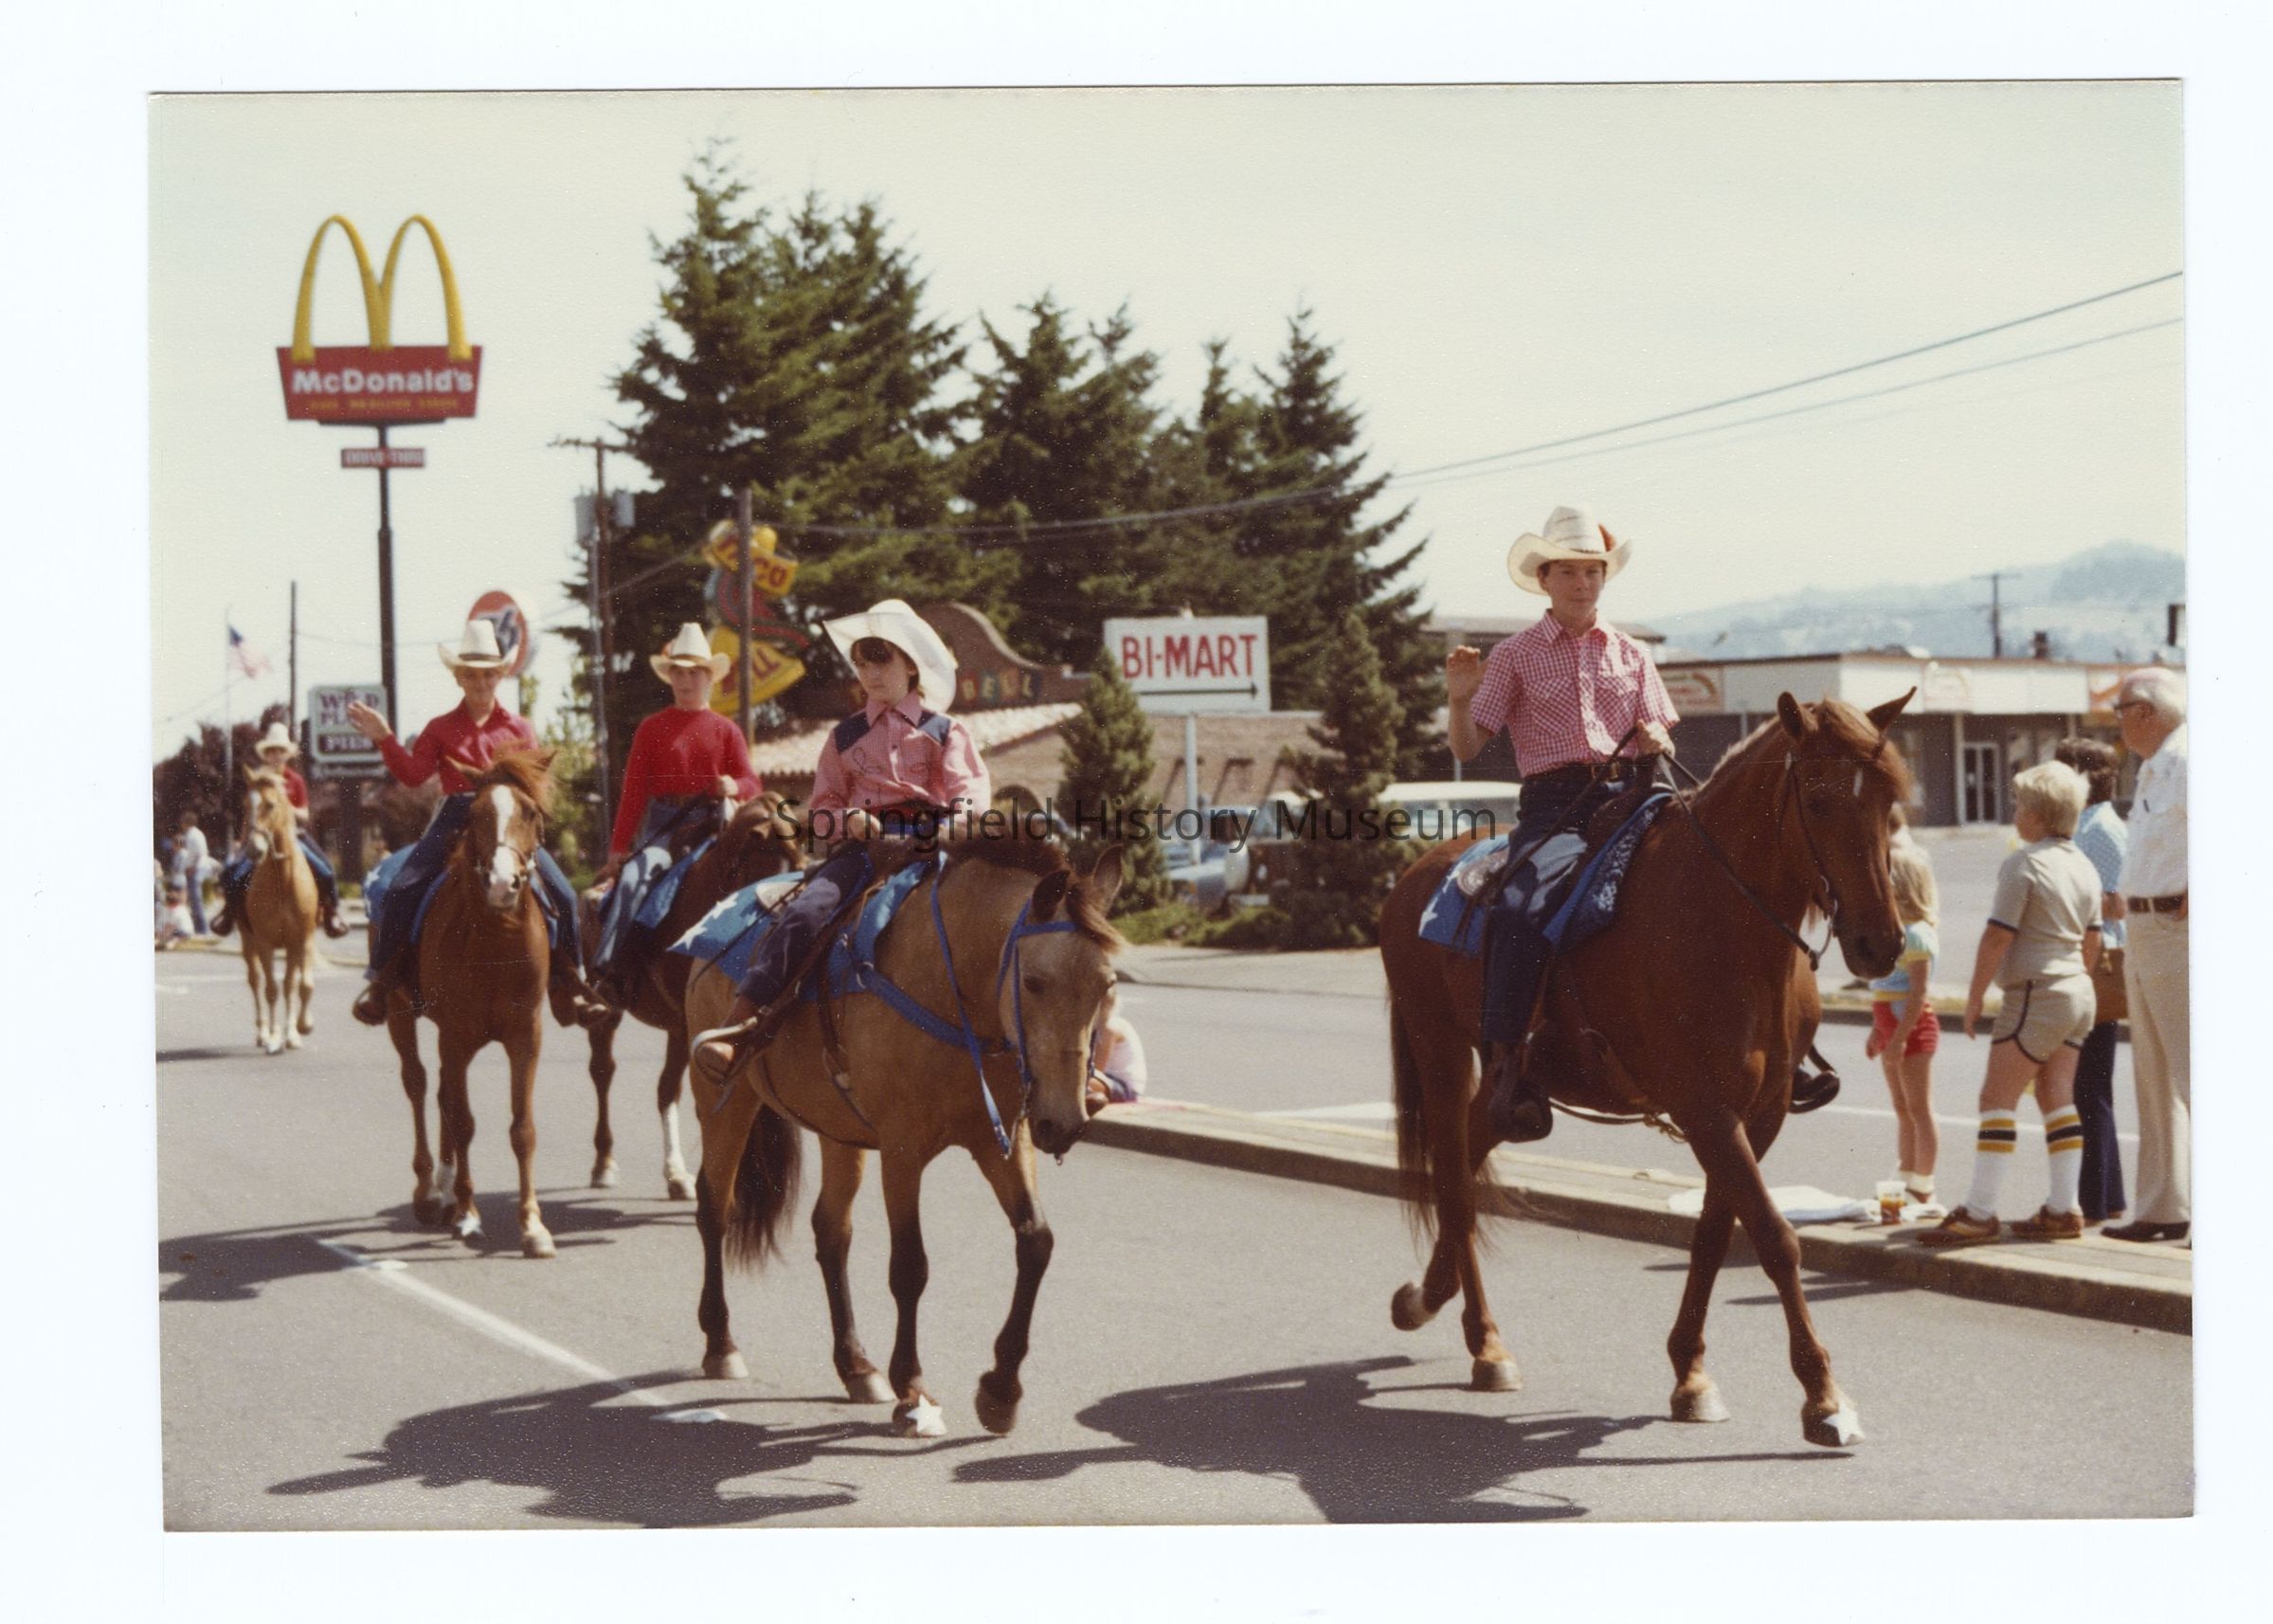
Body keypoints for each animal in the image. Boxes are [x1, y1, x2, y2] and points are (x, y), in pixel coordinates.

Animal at [237, 767, 320, 1055]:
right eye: (245, 805)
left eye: (270, 805)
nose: (253, 850)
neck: (282, 880)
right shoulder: (264, 943)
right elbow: (271, 988)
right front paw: (274, 1037)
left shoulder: (300, 941)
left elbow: (297, 985)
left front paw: (297, 1031)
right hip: (247, 941)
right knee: (255, 981)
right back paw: (263, 1033)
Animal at [383, 747, 562, 1258]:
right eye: (475, 814)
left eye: (530, 812)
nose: (503, 883)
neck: (496, 942)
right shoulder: (457, 1036)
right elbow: (463, 1122)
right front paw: (469, 1215)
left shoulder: (525, 1037)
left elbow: (522, 1129)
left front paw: (532, 1225)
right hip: (402, 1016)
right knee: (419, 1085)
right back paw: (430, 1192)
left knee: (442, 1092)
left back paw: (443, 1193)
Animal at [580, 792, 807, 1197]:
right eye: (766, 860)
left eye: (800, 859)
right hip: (610, 1011)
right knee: (603, 1072)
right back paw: (604, 1163)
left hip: (675, 1029)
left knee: (666, 1089)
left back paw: (675, 1173)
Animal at [682, 835, 1126, 1438]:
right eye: (1035, 981)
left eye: (1107, 986)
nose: (1066, 1121)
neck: (951, 986)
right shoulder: (901, 1148)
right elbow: (910, 1267)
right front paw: (912, 1388)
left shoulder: (1003, 1139)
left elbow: (1035, 1241)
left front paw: (1000, 1388)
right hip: (725, 1101)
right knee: (715, 1209)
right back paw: (721, 1342)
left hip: (839, 1131)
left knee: (832, 1232)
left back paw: (855, 1365)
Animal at [1378, 692, 1911, 1447]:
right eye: (1816, 795)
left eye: (1889, 799)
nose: (1879, 943)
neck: (1721, 918)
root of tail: (1413, 876)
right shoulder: (1703, 1108)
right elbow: (1775, 1238)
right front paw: (1823, 1397)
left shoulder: (1759, 1114)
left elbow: (1715, 1234)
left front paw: (1690, 1374)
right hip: (1441, 1052)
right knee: (1453, 1182)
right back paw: (1479, 1339)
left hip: (1501, 1086)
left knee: (1471, 1166)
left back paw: (1439, 1304)